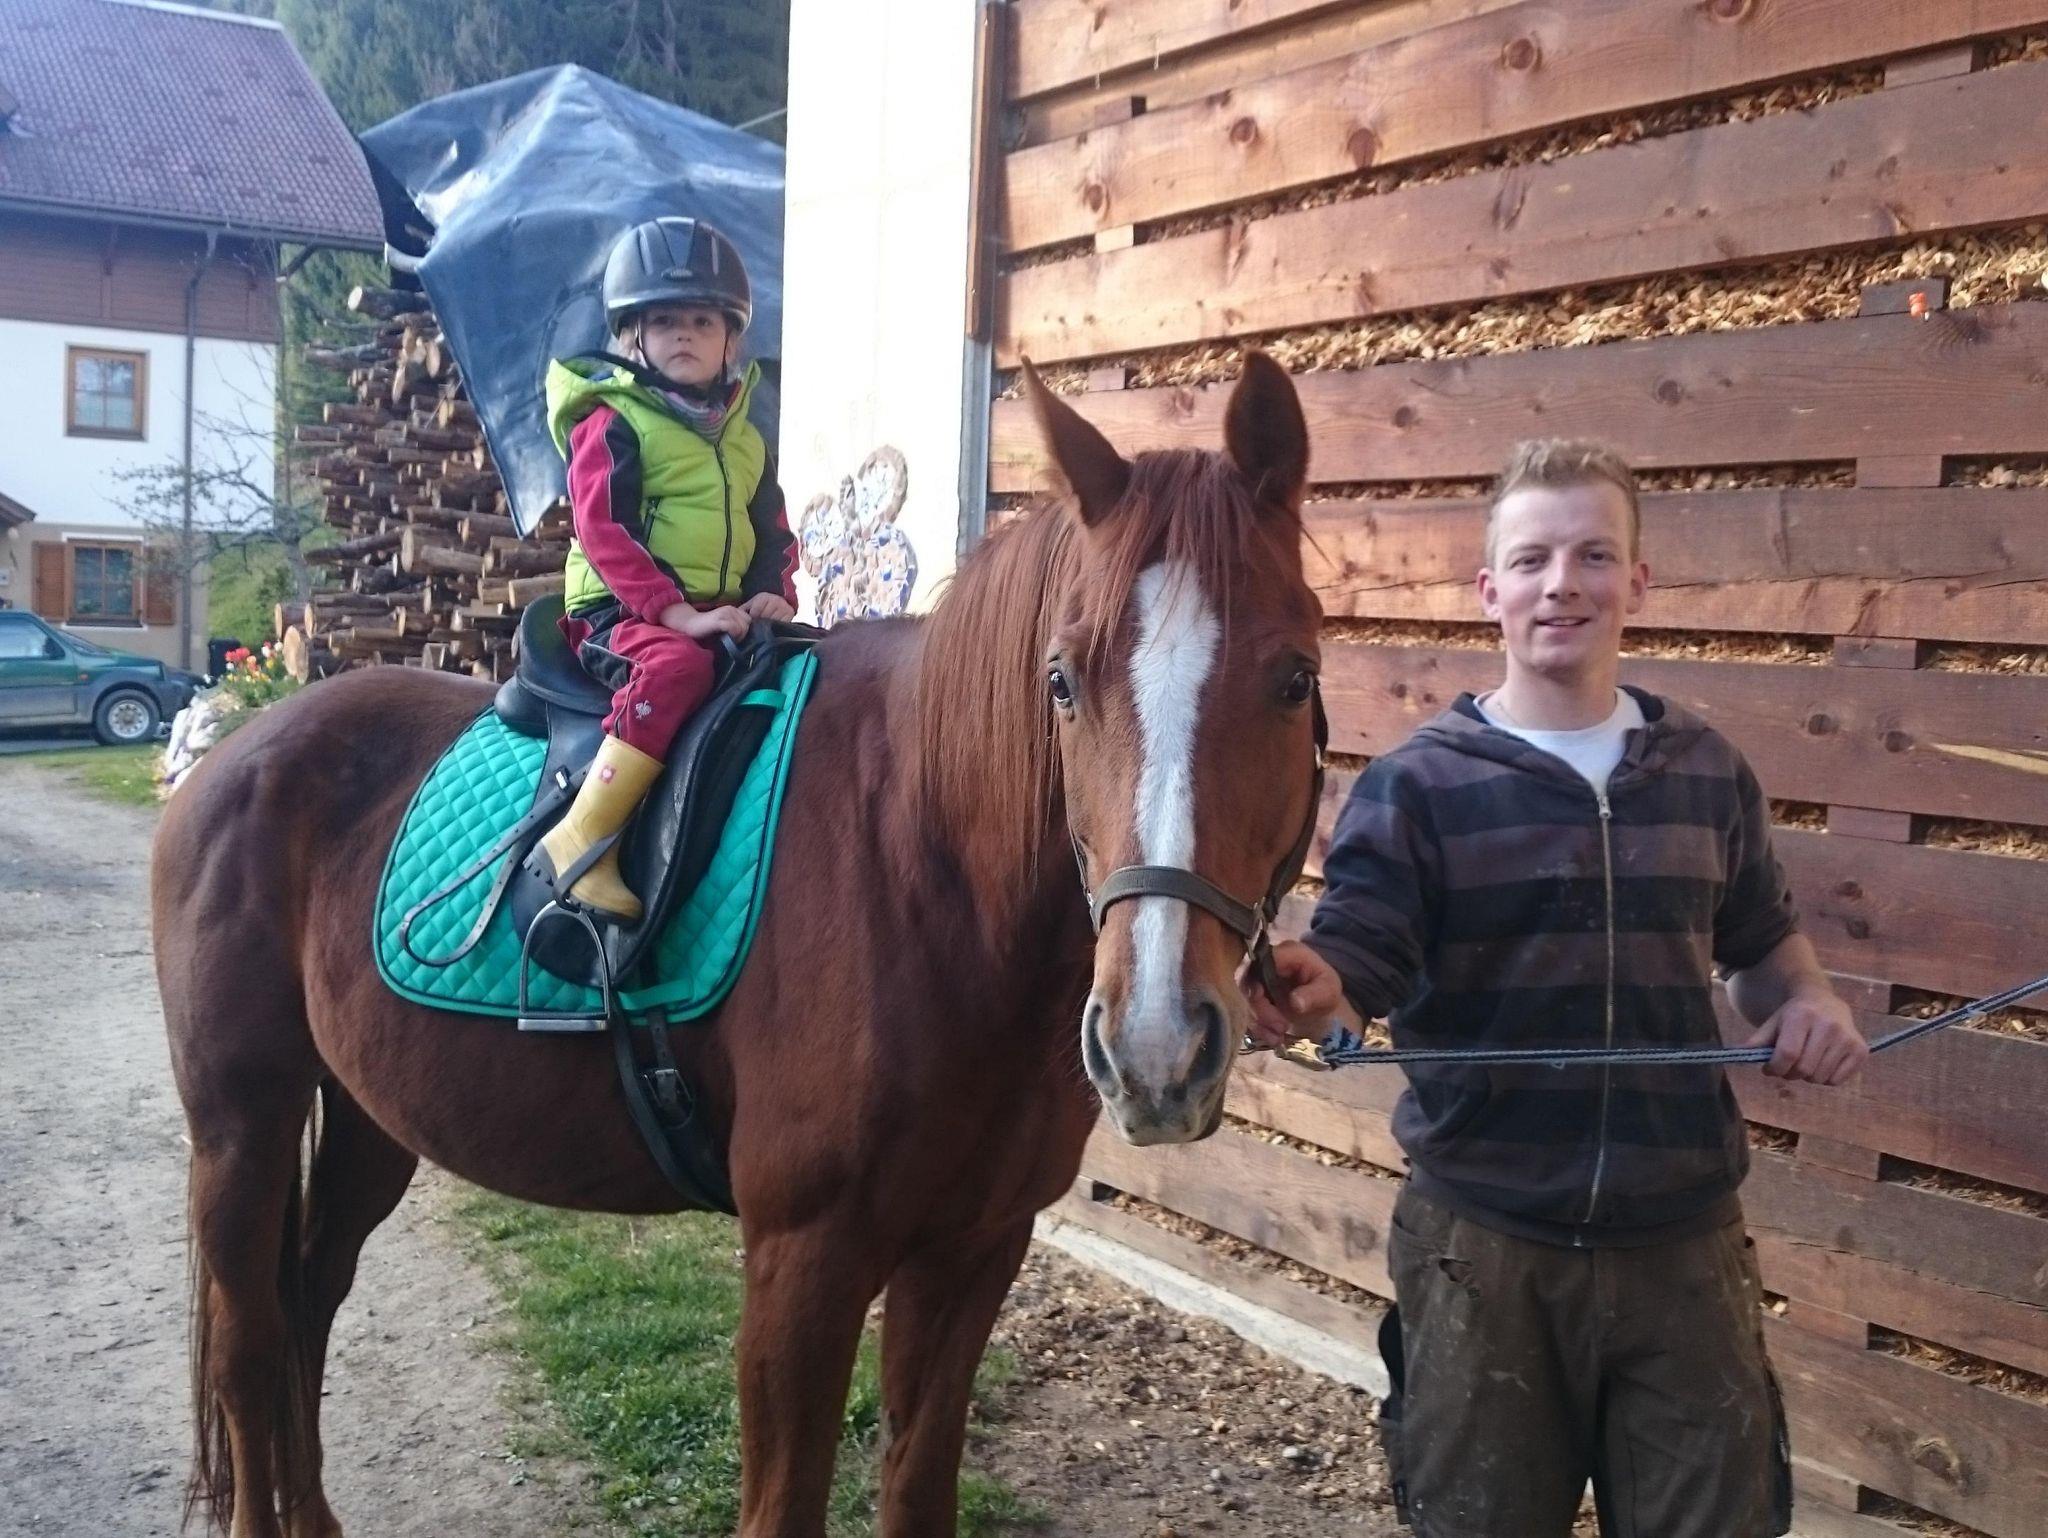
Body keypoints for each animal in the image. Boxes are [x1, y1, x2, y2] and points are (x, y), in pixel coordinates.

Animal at [152, 352, 1326, 1538]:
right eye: (1061, 681)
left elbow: (918, 1484)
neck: (925, 867)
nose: (1156, 1048)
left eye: (1295, 679)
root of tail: (231, 750)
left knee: (308, 1297)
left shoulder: (971, 1251)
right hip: (241, 1127)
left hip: (367, 1114)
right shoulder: (802, 1260)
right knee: (249, 1344)